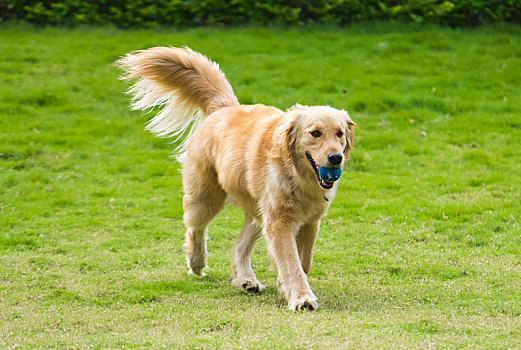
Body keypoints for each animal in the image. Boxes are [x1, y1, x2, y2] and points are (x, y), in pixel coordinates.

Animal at [116, 45, 356, 308]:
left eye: (339, 133)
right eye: (315, 133)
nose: (336, 158)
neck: (296, 174)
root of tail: (225, 107)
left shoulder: (310, 220)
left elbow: (304, 261)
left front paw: (286, 284)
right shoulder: (279, 221)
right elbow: (292, 263)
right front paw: (302, 297)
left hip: (257, 212)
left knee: (239, 248)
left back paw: (245, 280)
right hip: (206, 198)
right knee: (195, 229)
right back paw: (197, 263)